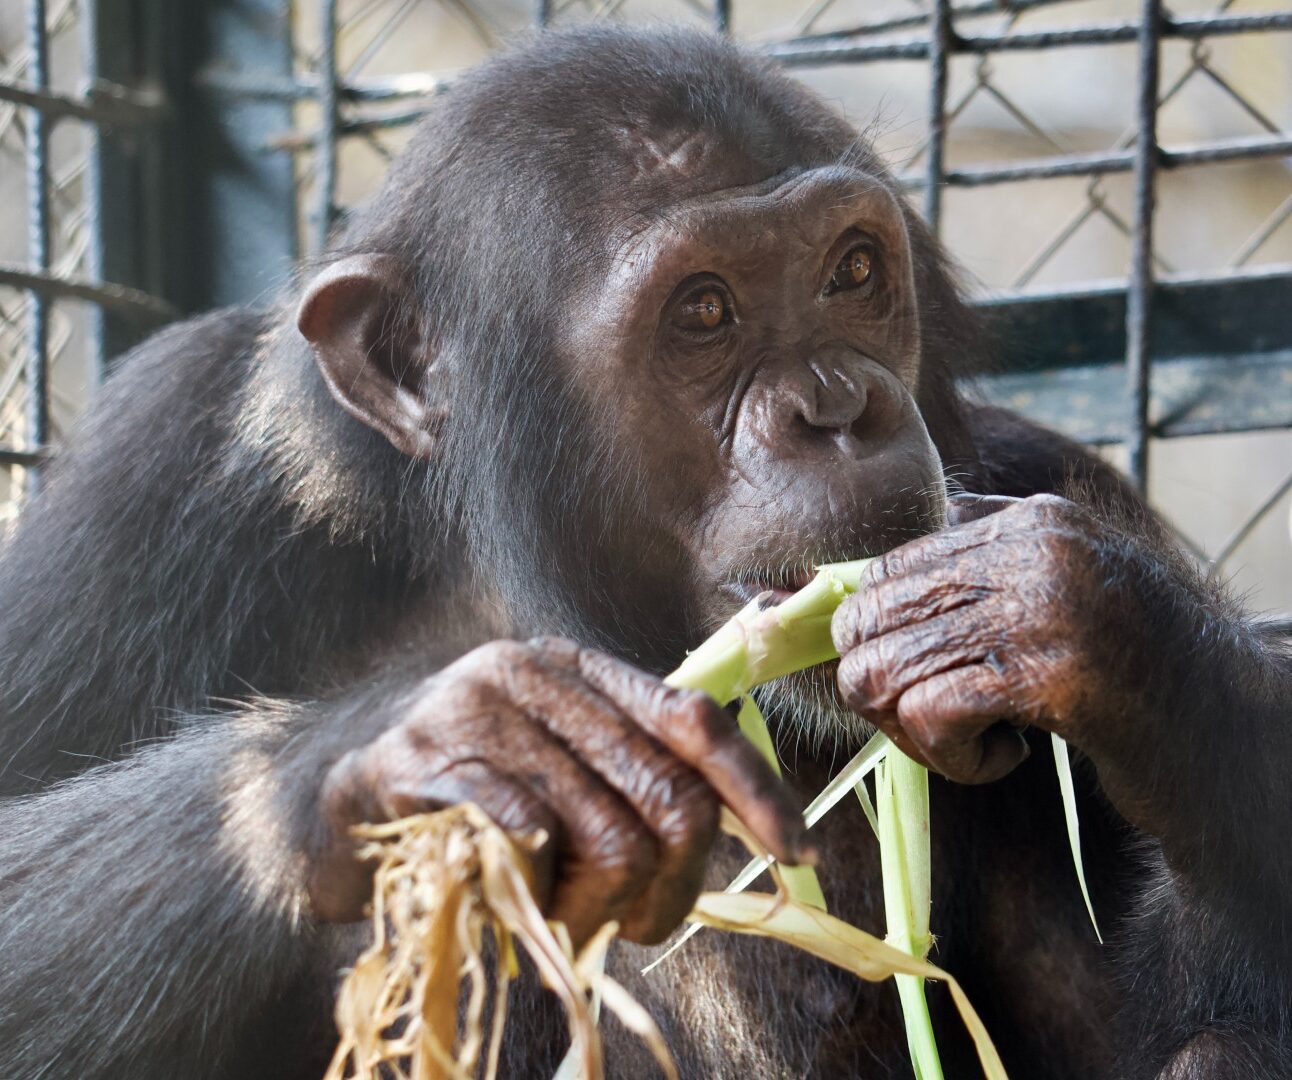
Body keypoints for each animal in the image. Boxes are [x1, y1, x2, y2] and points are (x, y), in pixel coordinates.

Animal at [2, 23, 1292, 1080]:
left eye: (851, 271)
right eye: (703, 310)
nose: (836, 407)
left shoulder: (1046, 473)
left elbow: (1135, 1029)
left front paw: (1074, 622)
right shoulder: (158, 467)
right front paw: (453, 743)